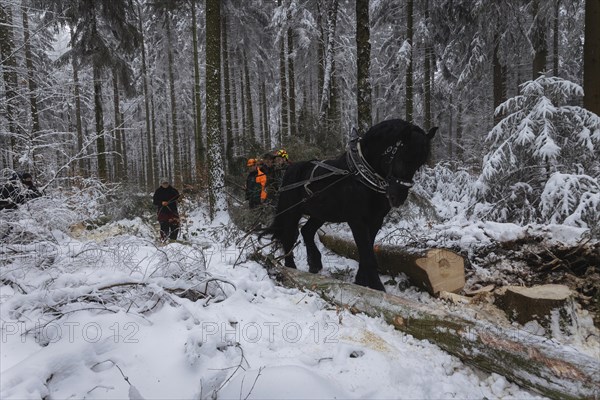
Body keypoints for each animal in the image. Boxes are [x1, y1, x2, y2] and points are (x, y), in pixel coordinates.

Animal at [268, 119, 436, 290]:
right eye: (403, 158)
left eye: (419, 164)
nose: (398, 197)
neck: (360, 177)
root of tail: (291, 168)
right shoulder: (357, 220)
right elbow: (366, 252)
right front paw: (377, 286)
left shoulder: (376, 220)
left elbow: (366, 249)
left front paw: (361, 280)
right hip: (291, 213)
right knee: (288, 237)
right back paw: (290, 268)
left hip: (321, 213)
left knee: (307, 231)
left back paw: (314, 263)